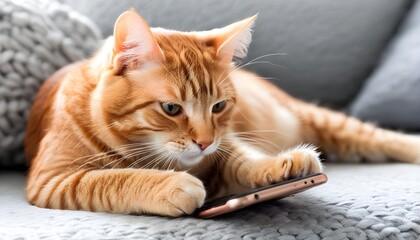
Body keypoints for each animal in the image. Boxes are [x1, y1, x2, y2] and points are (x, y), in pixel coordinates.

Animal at [23, 9, 420, 217]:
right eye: (171, 109)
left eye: (218, 106)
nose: (203, 141)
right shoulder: (54, 180)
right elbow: (113, 178)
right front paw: (172, 185)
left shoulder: (226, 145)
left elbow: (244, 161)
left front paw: (283, 165)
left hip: (323, 122)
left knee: (382, 137)